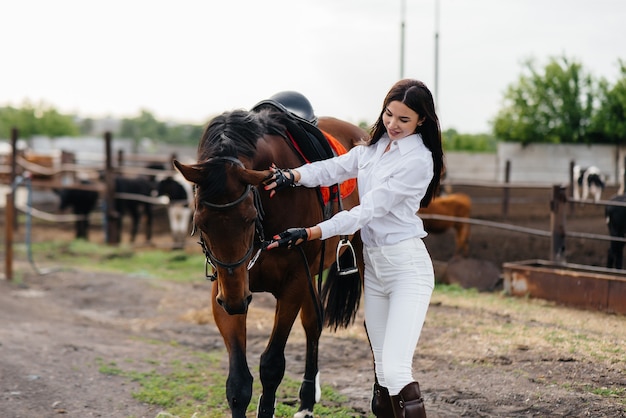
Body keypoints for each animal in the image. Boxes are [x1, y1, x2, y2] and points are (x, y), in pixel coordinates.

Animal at [173, 108, 364, 418]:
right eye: (201, 223)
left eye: (249, 217)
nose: (236, 301)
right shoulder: (225, 290)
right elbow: (238, 382)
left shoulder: (293, 283)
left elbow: (272, 365)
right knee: (313, 324)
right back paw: (306, 401)